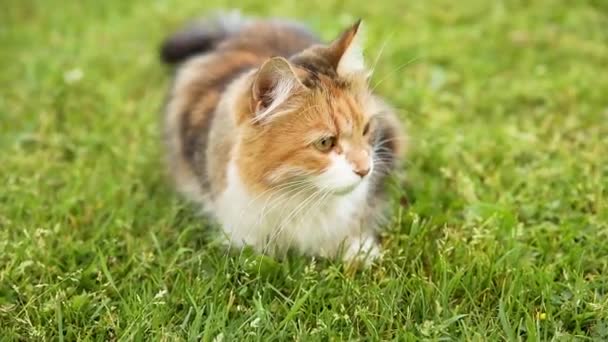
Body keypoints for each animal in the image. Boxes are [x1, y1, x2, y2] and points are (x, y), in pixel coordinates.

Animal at [162, 10, 406, 262]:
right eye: (325, 143)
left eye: (366, 129)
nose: (365, 170)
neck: (299, 197)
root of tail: (242, 29)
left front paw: (359, 251)